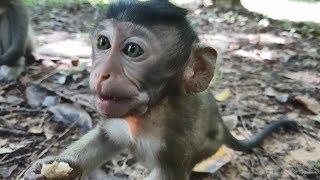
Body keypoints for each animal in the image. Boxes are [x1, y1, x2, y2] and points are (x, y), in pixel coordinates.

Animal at [23, 0, 296, 179]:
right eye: (103, 43)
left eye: (132, 50)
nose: (101, 73)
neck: (150, 111)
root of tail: (221, 125)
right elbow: (105, 138)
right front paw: (55, 167)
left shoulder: (176, 140)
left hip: (208, 148)